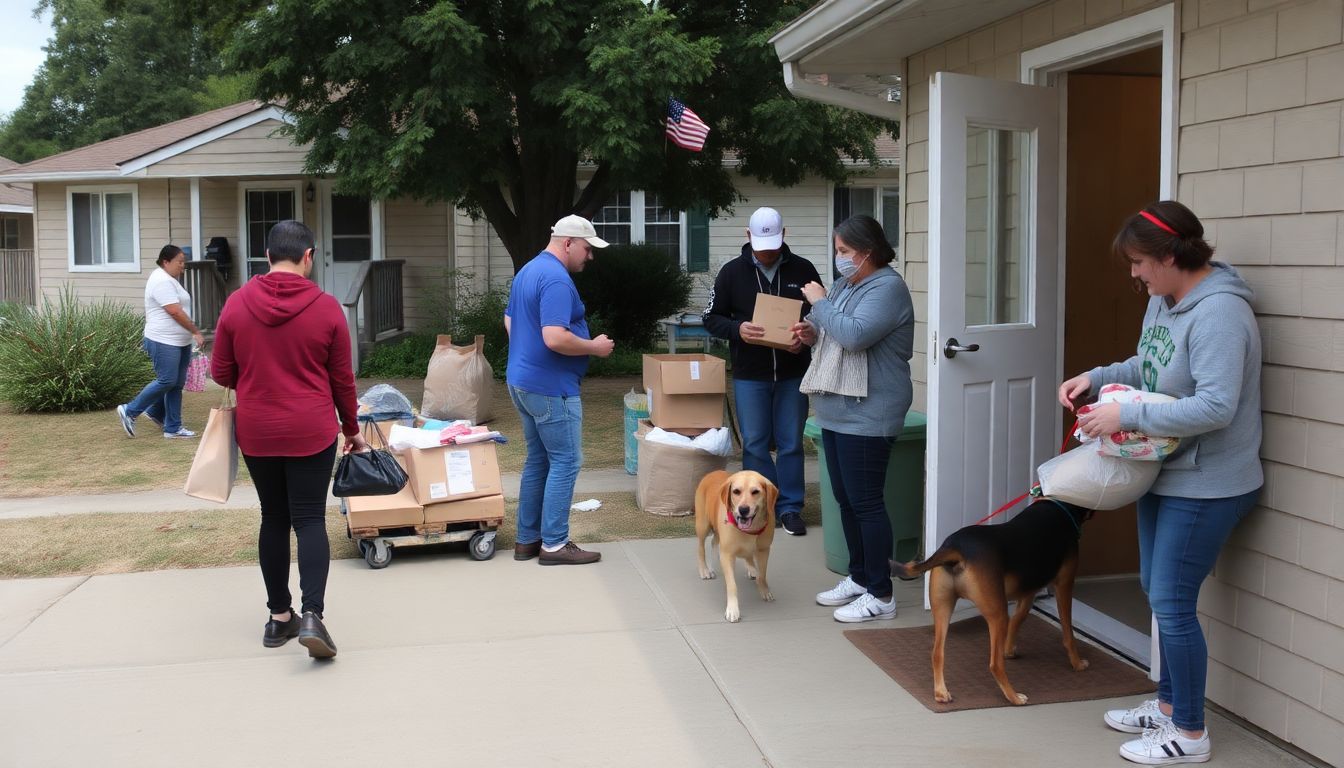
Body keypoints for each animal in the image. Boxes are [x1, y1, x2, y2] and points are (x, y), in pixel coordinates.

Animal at [693, 468, 779, 624]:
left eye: (755, 491)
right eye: (736, 491)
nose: (743, 510)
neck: (751, 530)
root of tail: (713, 472)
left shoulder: (764, 550)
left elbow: (762, 575)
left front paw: (764, 590)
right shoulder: (727, 554)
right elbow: (732, 585)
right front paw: (732, 610)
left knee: (715, 542)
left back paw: (751, 569)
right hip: (703, 525)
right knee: (701, 547)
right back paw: (705, 569)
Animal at [892, 494, 1091, 704]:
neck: (1060, 505)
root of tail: (955, 548)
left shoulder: (1027, 592)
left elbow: (1018, 619)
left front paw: (1009, 650)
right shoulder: (1064, 585)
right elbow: (1068, 632)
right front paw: (1077, 663)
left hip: (942, 607)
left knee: (937, 654)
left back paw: (941, 692)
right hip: (998, 614)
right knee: (995, 664)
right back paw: (1014, 697)